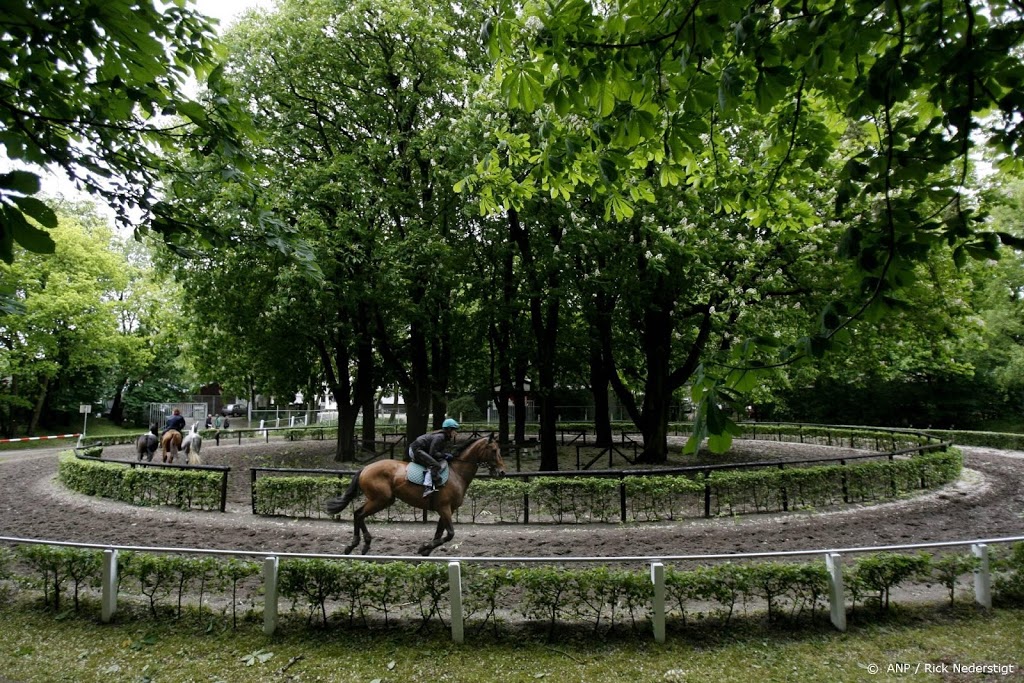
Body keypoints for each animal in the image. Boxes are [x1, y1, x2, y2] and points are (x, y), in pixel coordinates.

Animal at [325, 438, 505, 557]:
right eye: (494, 450)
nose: (502, 472)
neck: (457, 473)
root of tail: (365, 468)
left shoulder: (448, 510)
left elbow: (440, 534)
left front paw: (426, 551)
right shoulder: (444, 508)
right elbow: (449, 534)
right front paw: (423, 547)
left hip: (378, 499)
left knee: (358, 514)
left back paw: (358, 545)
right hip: (381, 500)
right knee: (360, 514)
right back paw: (359, 544)